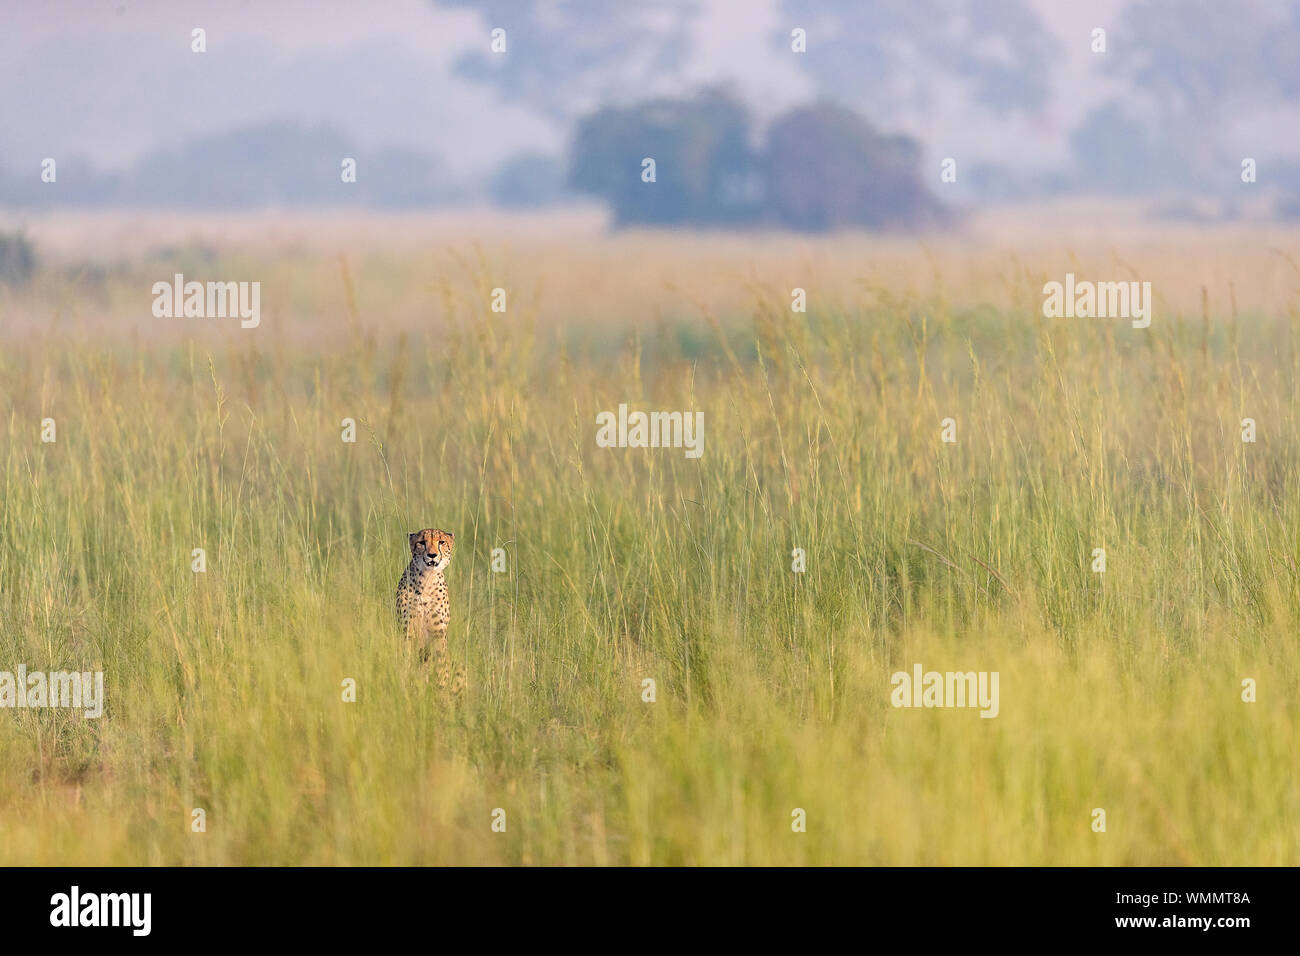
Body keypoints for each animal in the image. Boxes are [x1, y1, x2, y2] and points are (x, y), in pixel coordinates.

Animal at [392, 530, 465, 697]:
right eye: (422, 542)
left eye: (441, 542)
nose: (432, 555)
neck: (427, 579)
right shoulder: (407, 630)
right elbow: (407, 659)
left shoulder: (438, 633)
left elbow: (440, 666)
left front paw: (440, 688)